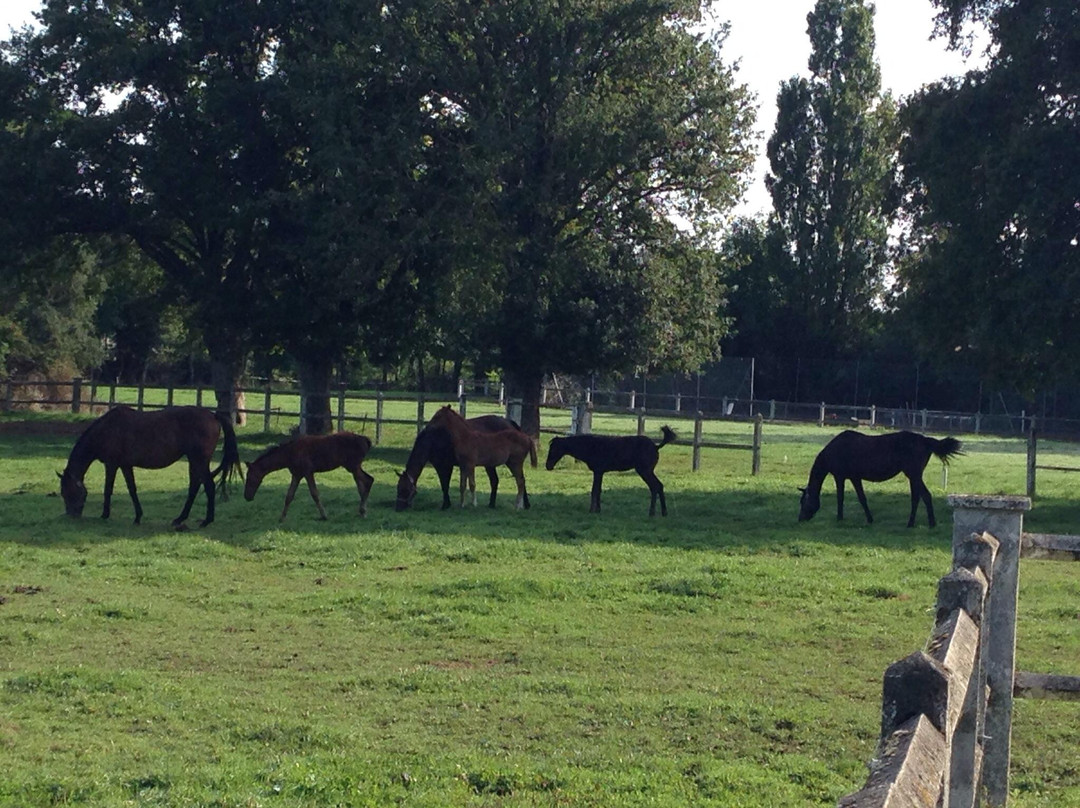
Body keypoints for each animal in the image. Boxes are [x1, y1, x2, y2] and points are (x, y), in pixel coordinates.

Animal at [58, 404, 243, 529]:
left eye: (68, 492)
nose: (71, 515)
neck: (107, 429)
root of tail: (213, 415)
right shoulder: (125, 465)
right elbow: (132, 489)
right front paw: (138, 517)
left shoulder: (112, 465)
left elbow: (108, 489)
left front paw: (105, 515)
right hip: (194, 461)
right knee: (194, 487)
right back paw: (180, 519)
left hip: (199, 460)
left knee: (208, 486)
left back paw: (206, 520)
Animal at [243, 432, 373, 520]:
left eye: (249, 477)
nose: (247, 497)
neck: (288, 455)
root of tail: (366, 441)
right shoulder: (296, 474)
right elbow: (289, 496)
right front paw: (282, 518)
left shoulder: (307, 472)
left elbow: (314, 494)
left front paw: (324, 515)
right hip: (354, 467)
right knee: (361, 484)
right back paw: (362, 511)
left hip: (352, 466)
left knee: (369, 480)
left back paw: (363, 510)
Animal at [395, 416, 524, 512]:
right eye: (398, 488)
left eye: (404, 489)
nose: (398, 508)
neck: (433, 438)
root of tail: (509, 422)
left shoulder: (445, 465)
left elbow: (445, 484)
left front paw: (446, 505)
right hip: (490, 464)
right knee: (495, 481)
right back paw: (493, 504)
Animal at [794, 432, 963, 527]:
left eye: (803, 502)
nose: (800, 519)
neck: (834, 451)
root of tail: (925, 440)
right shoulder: (855, 477)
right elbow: (862, 498)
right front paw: (870, 519)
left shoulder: (840, 476)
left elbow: (840, 498)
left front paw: (839, 519)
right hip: (914, 476)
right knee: (916, 498)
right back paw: (911, 524)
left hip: (914, 474)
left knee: (926, 496)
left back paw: (931, 524)